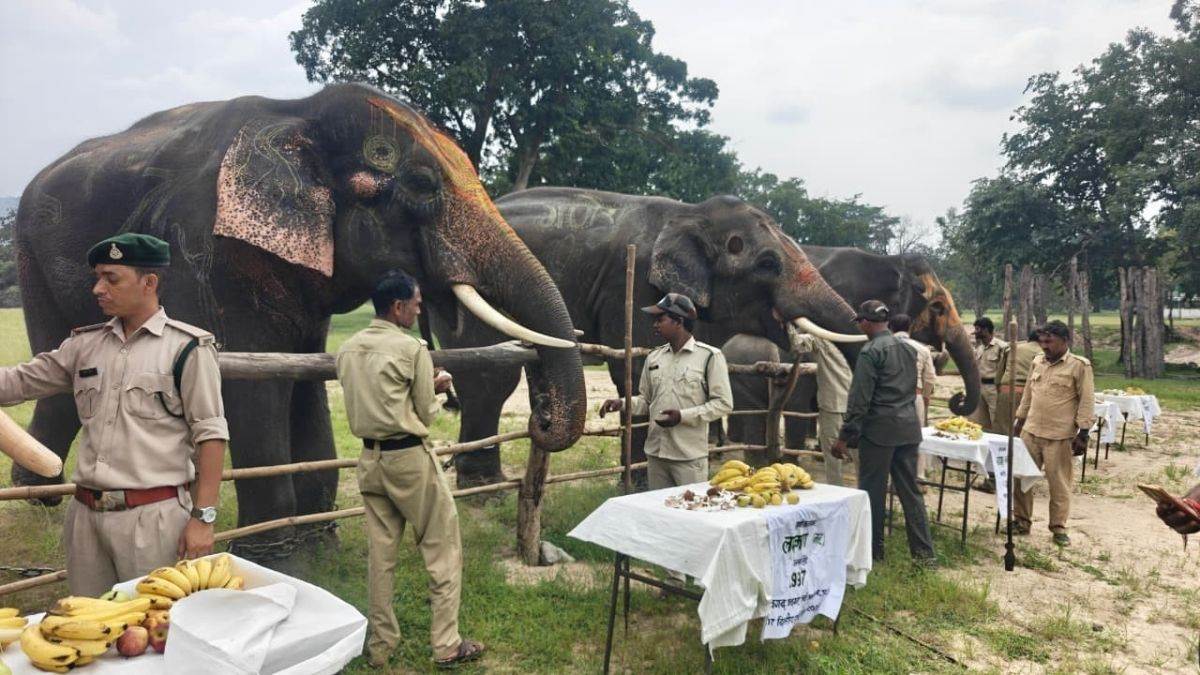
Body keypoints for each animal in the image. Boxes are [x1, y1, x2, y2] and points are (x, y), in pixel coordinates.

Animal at [11, 83, 586, 557]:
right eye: (423, 185)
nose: (542, 416)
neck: (297, 113)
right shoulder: (207, 249)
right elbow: (249, 391)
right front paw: (278, 558)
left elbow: (302, 375)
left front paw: (318, 544)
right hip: (29, 255)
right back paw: (38, 495)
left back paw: (39, 492)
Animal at [429, 187, 866, 487]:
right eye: (768, 264)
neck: (691, 213)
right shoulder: (637, 283)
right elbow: (638, 369)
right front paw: (639, 484)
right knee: (490, 378)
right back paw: (485, 487)